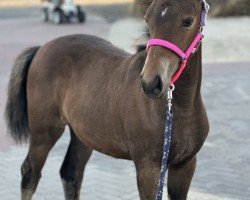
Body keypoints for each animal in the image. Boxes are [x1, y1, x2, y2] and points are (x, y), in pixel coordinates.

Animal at [5, 0, 209, 200]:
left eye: (188, 21)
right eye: (148, 20)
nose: (151, 83)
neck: (178, 109)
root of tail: (41, 48)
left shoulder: (185, 165)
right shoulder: (148, 167)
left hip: (83, 133)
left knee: (71, 173)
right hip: (44, 131)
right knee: (30, 174)